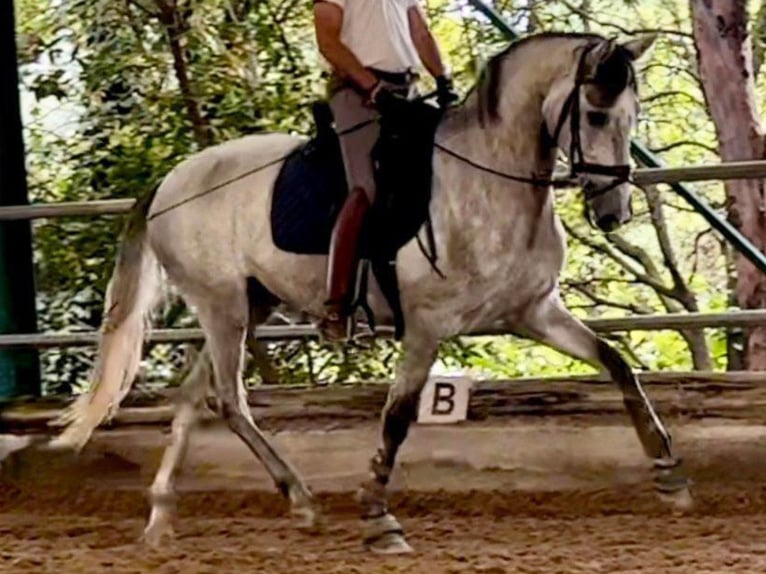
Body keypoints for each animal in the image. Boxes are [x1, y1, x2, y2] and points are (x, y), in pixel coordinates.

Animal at [49, 31, 693, 554]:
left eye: (633, 114)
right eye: (596, 115)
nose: (612, 213)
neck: (488, 179)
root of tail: (169, 181)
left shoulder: (533, 311)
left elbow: (618, 364)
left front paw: (669, 474)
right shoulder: (428, 325)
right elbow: (398, 418)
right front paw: (379, 518)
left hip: (250, 305)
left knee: (191, 397)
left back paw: (165, 515)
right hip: (223, 305)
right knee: (228, 399)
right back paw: (296, 496)